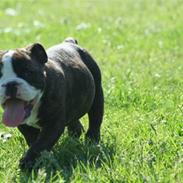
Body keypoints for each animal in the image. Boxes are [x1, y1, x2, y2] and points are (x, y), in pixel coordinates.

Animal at [0, 38, 103, 169]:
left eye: (28, 73)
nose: (10, 84)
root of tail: (70, 42)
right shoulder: (24, 125)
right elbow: (33, 140)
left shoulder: (53, 123)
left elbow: (41, 143)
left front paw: (28, 162)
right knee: (74, 120)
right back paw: (74, 135)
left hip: (97, 93)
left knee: (95, 118)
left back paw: (92, 140)